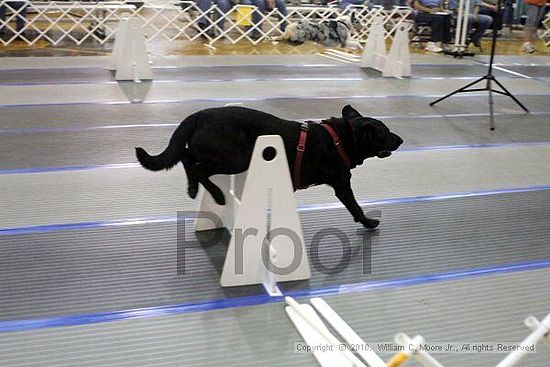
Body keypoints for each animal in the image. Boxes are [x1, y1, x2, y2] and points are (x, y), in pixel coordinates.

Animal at [136, 105, 404, 229]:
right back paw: (217, 194)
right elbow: (355, 206)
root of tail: (200, 115)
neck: (341, 138)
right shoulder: (342, 184)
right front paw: (369, 222)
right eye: (386, 134)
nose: (401, 140)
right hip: (236, 157)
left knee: (186, 157)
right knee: (196, 165)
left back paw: (192, 188)